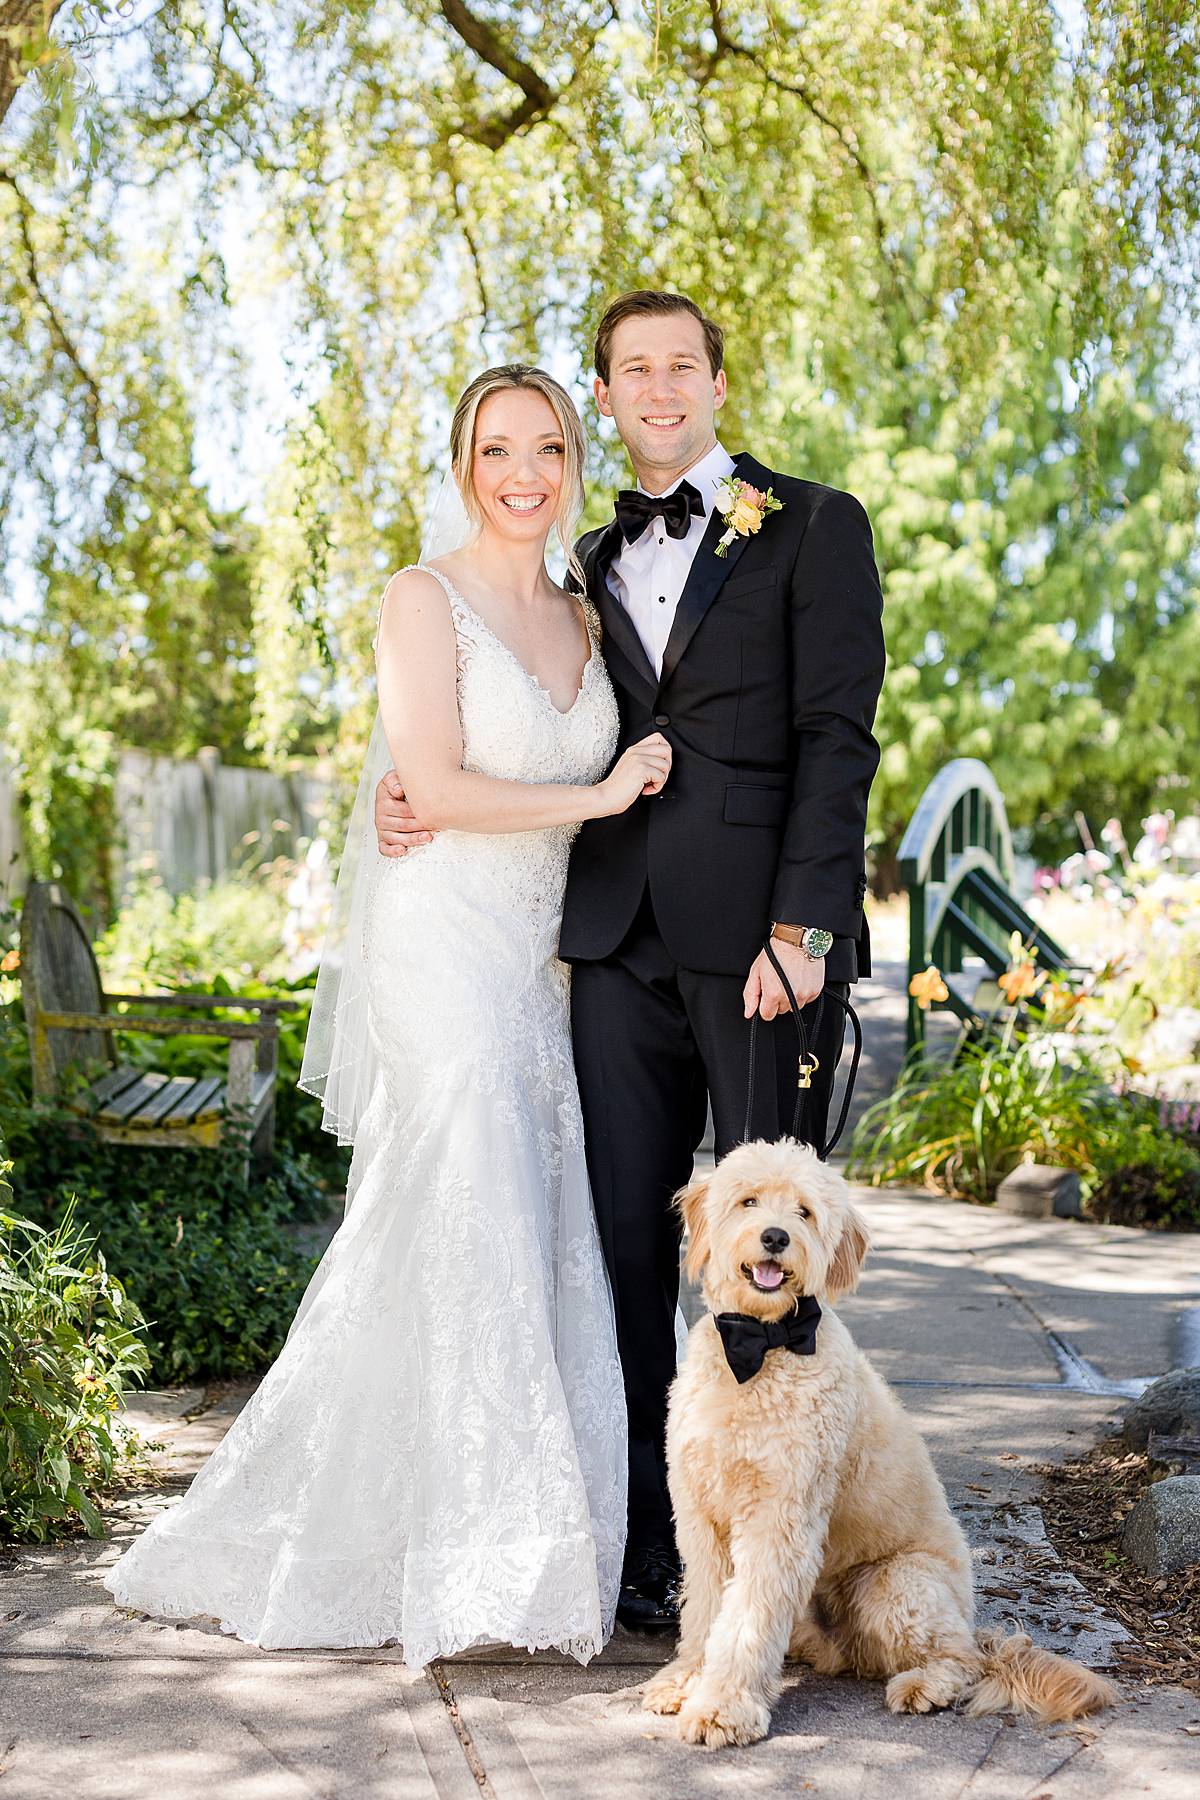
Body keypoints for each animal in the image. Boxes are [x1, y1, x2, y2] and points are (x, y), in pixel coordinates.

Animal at [644, 1137, 1122, 1742]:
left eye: (804, 1212)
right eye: (748, 1201)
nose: (775, 1237)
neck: (762, 1349)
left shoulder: (780, 1519)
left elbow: (747, 1620)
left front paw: (723, 1706)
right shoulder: (702, 1516)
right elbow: (705, 1609)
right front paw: (686, 1680)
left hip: (898, 1584)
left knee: (962, 1659)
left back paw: (924, 1686)